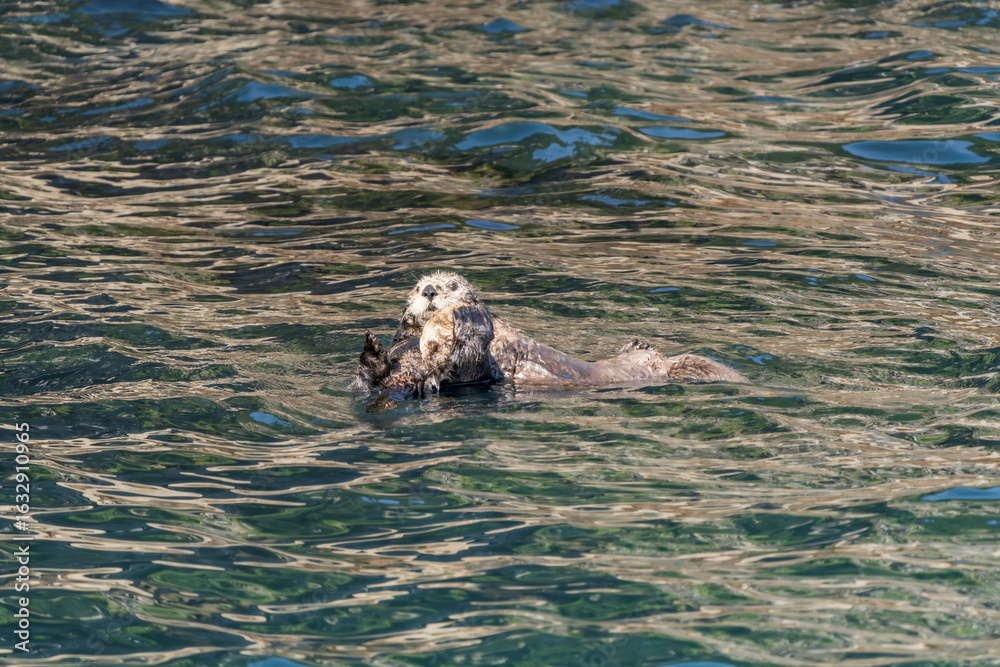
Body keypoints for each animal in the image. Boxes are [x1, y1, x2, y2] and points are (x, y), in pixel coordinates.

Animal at [350, 272, 745, 399]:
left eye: (452, 285)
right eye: (418, 288)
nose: (430, 290)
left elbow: (465, 358)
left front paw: (459, 316)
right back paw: (373, 351)